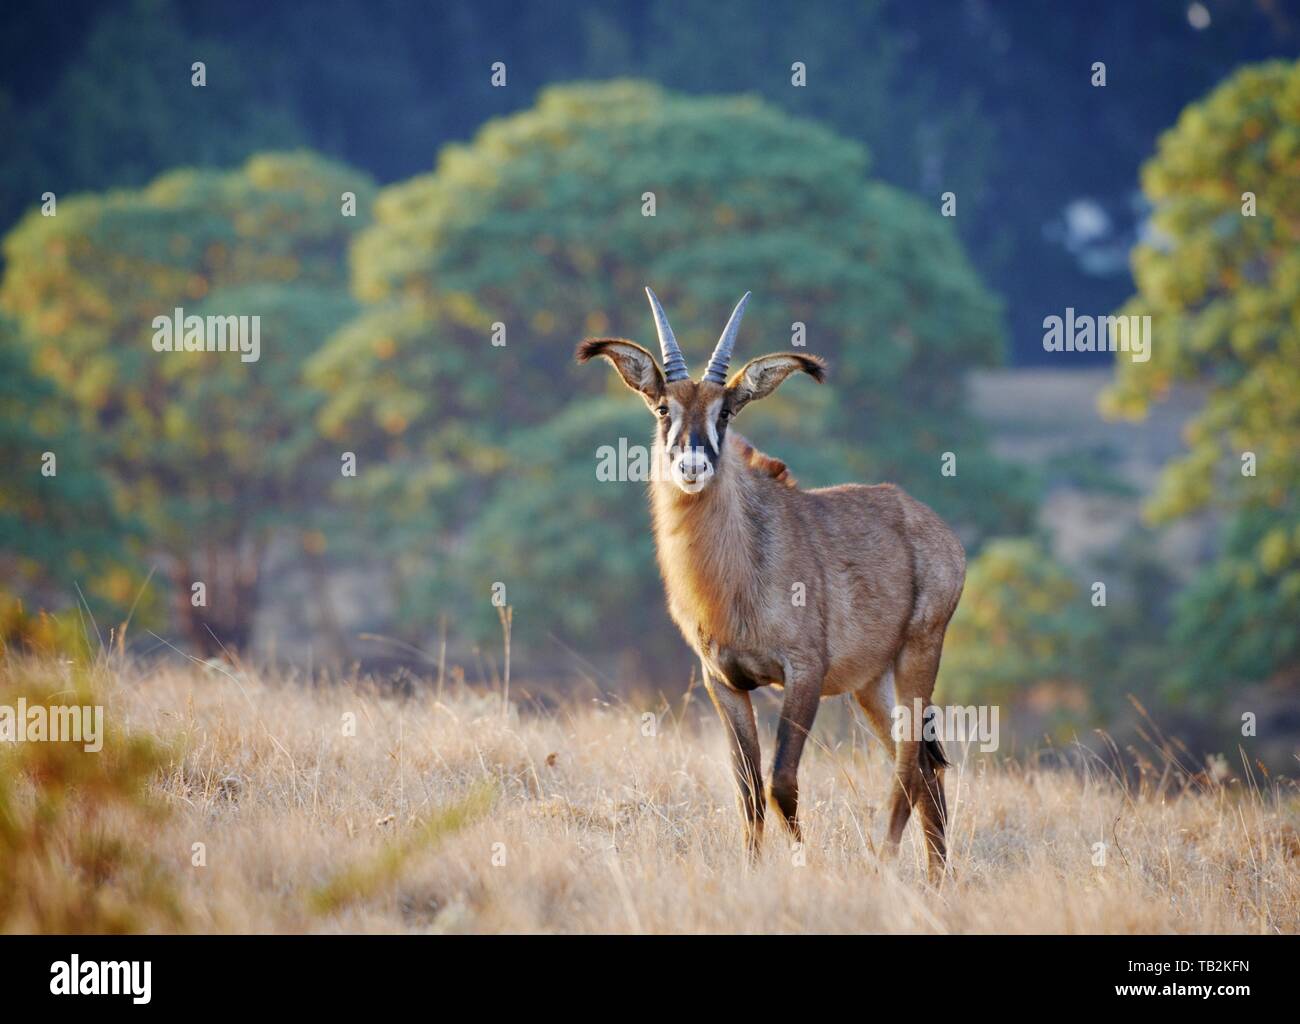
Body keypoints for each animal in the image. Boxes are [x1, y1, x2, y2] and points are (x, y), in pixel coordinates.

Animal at [579, 288, 967, 878]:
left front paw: (804, 864)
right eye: (665, 408)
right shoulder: (723, 681)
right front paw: (752, 869)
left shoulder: (804, 672)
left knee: (907, 767)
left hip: (920, 653)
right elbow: (748, 790)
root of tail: (938, 531)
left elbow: (781, 782)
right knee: (925, 766)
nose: (692, 464)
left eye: (725, 411)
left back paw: (887, 864)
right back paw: (937, 881)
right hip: (870, 683)